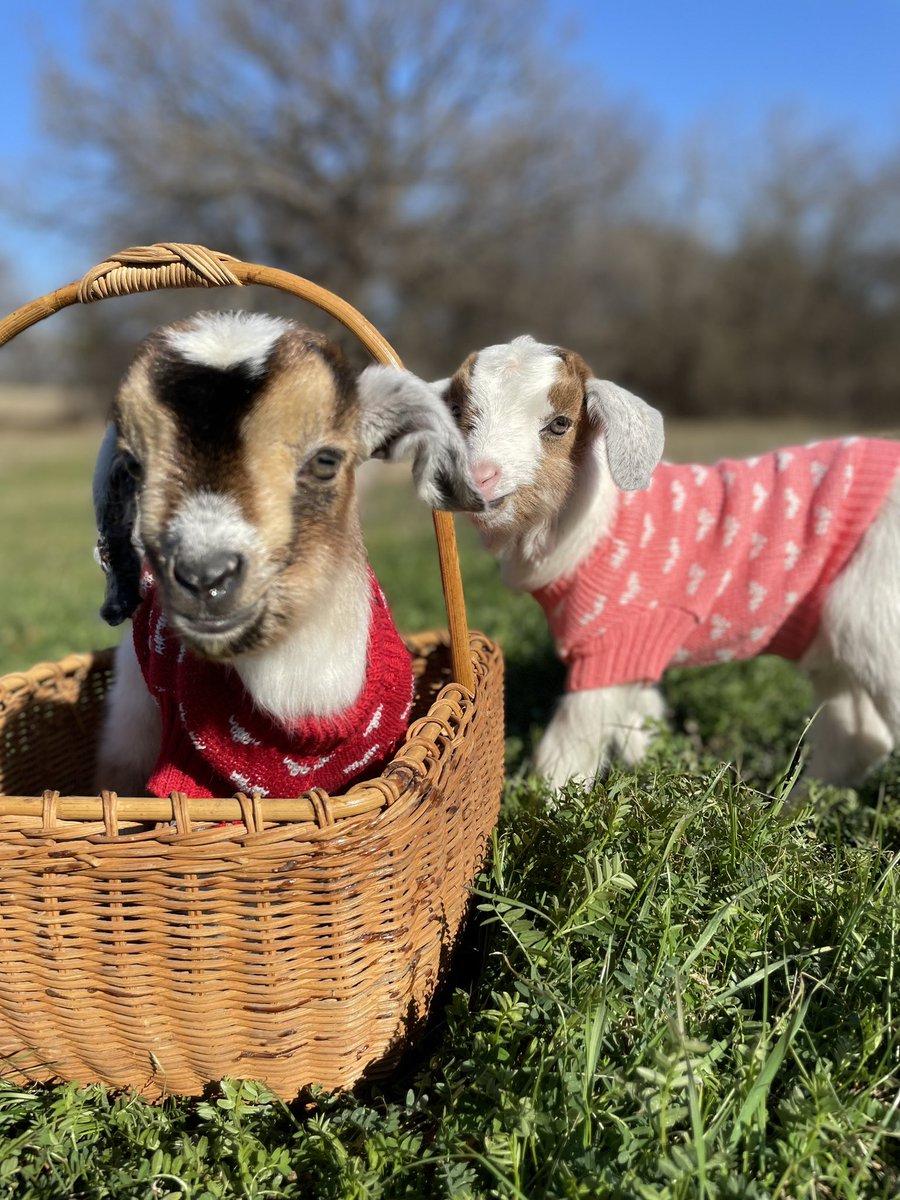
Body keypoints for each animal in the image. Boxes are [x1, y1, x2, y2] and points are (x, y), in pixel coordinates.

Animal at [362, 336, 900, 787]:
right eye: (457, 412)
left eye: (560, 423)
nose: (479, 475)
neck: (593, 527)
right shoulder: (634, 654)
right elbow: (640, 721)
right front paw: (656, 774)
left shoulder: (612, 641)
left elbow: (569, 747)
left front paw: (545, 811)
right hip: (831, 643)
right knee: (857, 735)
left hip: (872, 620)